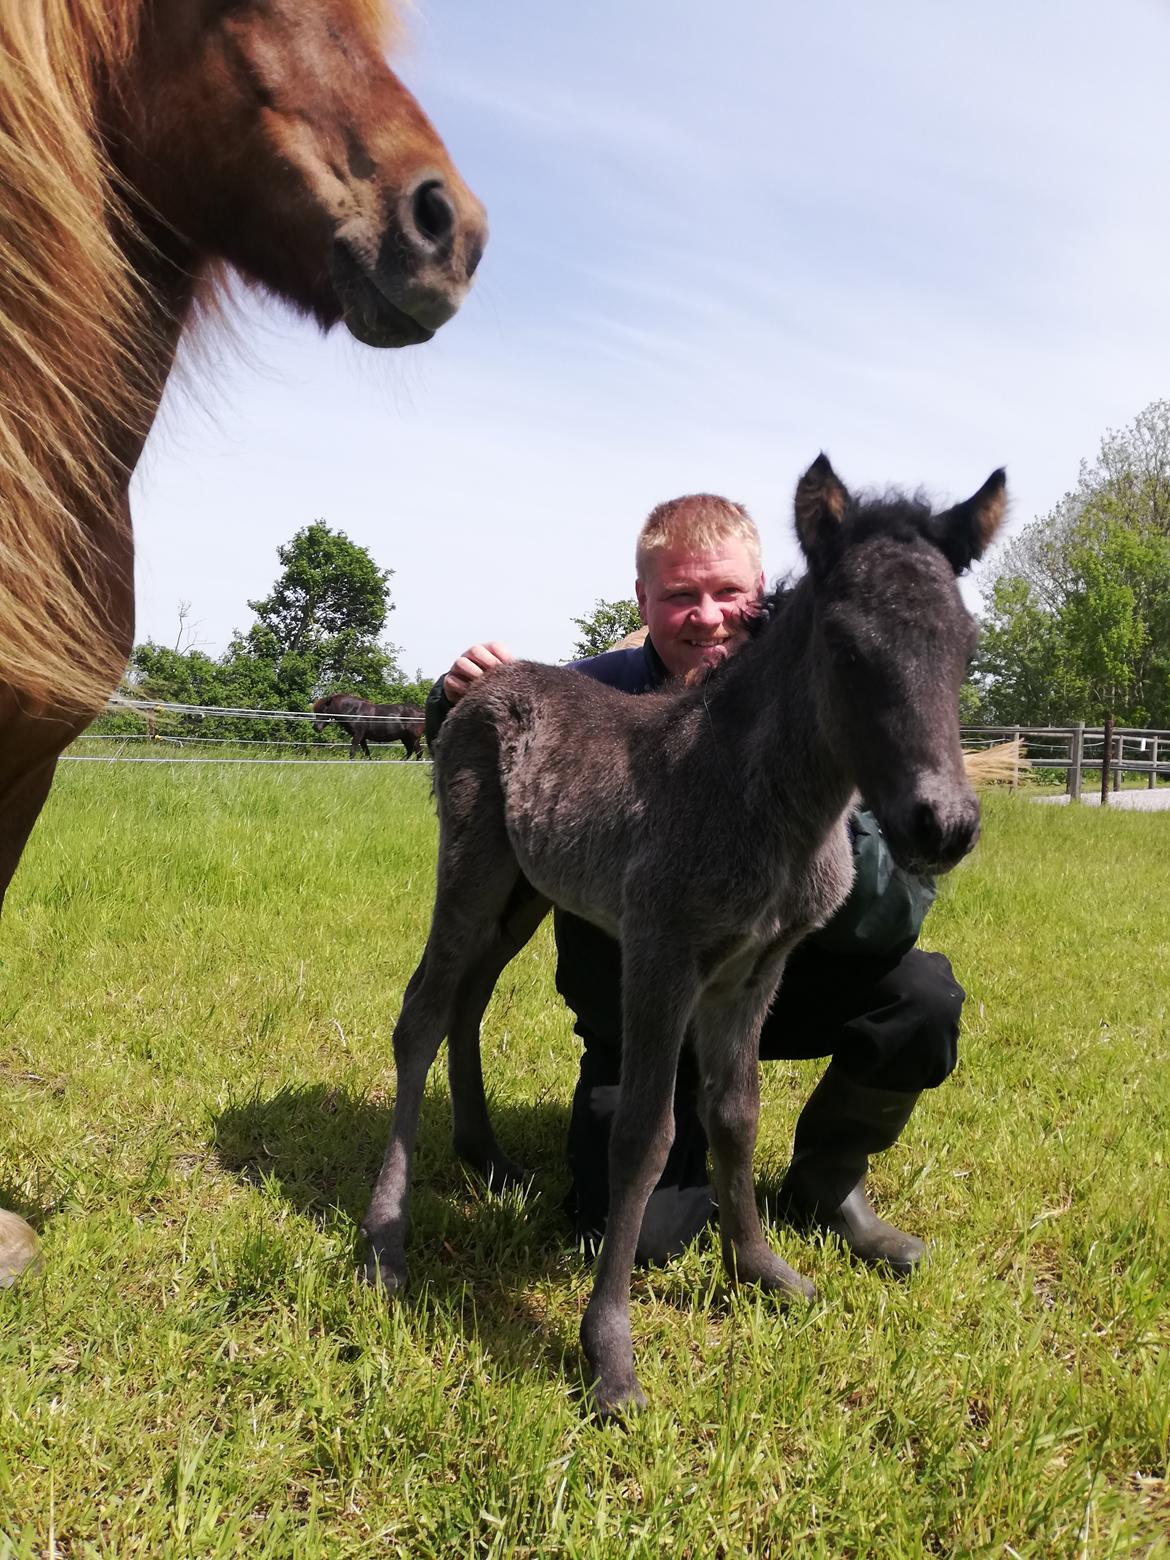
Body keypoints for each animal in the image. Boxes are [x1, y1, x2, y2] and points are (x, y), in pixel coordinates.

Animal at [366, 452, 1010, 1416]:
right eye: (845, 646)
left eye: (965, 648)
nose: (944, 825)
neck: (762, 798)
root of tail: (481, 686)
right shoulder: (661, 951)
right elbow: (644, 1135)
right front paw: (610, 1356)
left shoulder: (754, 967)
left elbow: (735, 1113)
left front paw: (762, 1269)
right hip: (472, 872)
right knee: (421, 1015)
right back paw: (384, 1241)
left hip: (525, 891)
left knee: (469, 1002)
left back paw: (485, 1160)